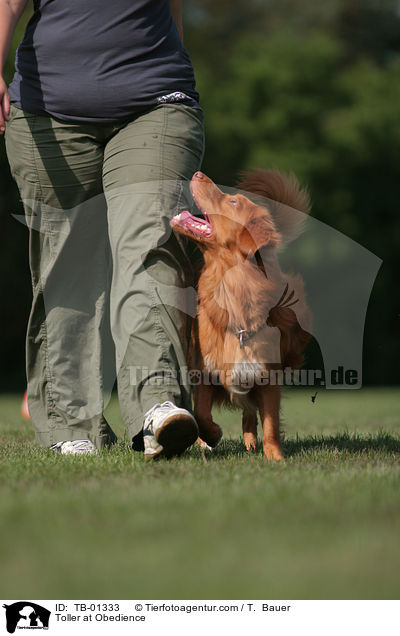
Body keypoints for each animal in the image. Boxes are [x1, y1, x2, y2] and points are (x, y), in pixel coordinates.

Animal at [170, 169, 310, 458]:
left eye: (233, 202)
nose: (198, 173)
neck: (230, 288)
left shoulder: (267, 377)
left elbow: (270, 424)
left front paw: (275, 457)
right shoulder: (205, 372)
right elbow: (201, 414)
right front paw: (211, 435)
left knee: (250, 413)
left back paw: (250, 442)